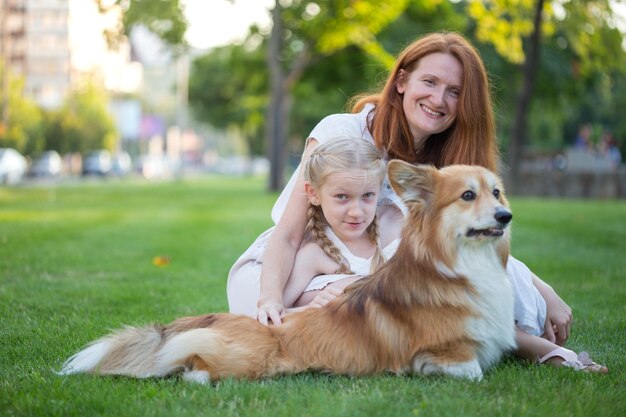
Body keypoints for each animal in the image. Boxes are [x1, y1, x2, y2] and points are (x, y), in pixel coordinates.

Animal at [61, 161, 516, 382]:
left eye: (497, 192)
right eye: (467, 195)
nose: (506, 216)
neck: (459, 266)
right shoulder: (443, 352)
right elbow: (474, 372)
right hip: (250, 358)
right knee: (194, 363)